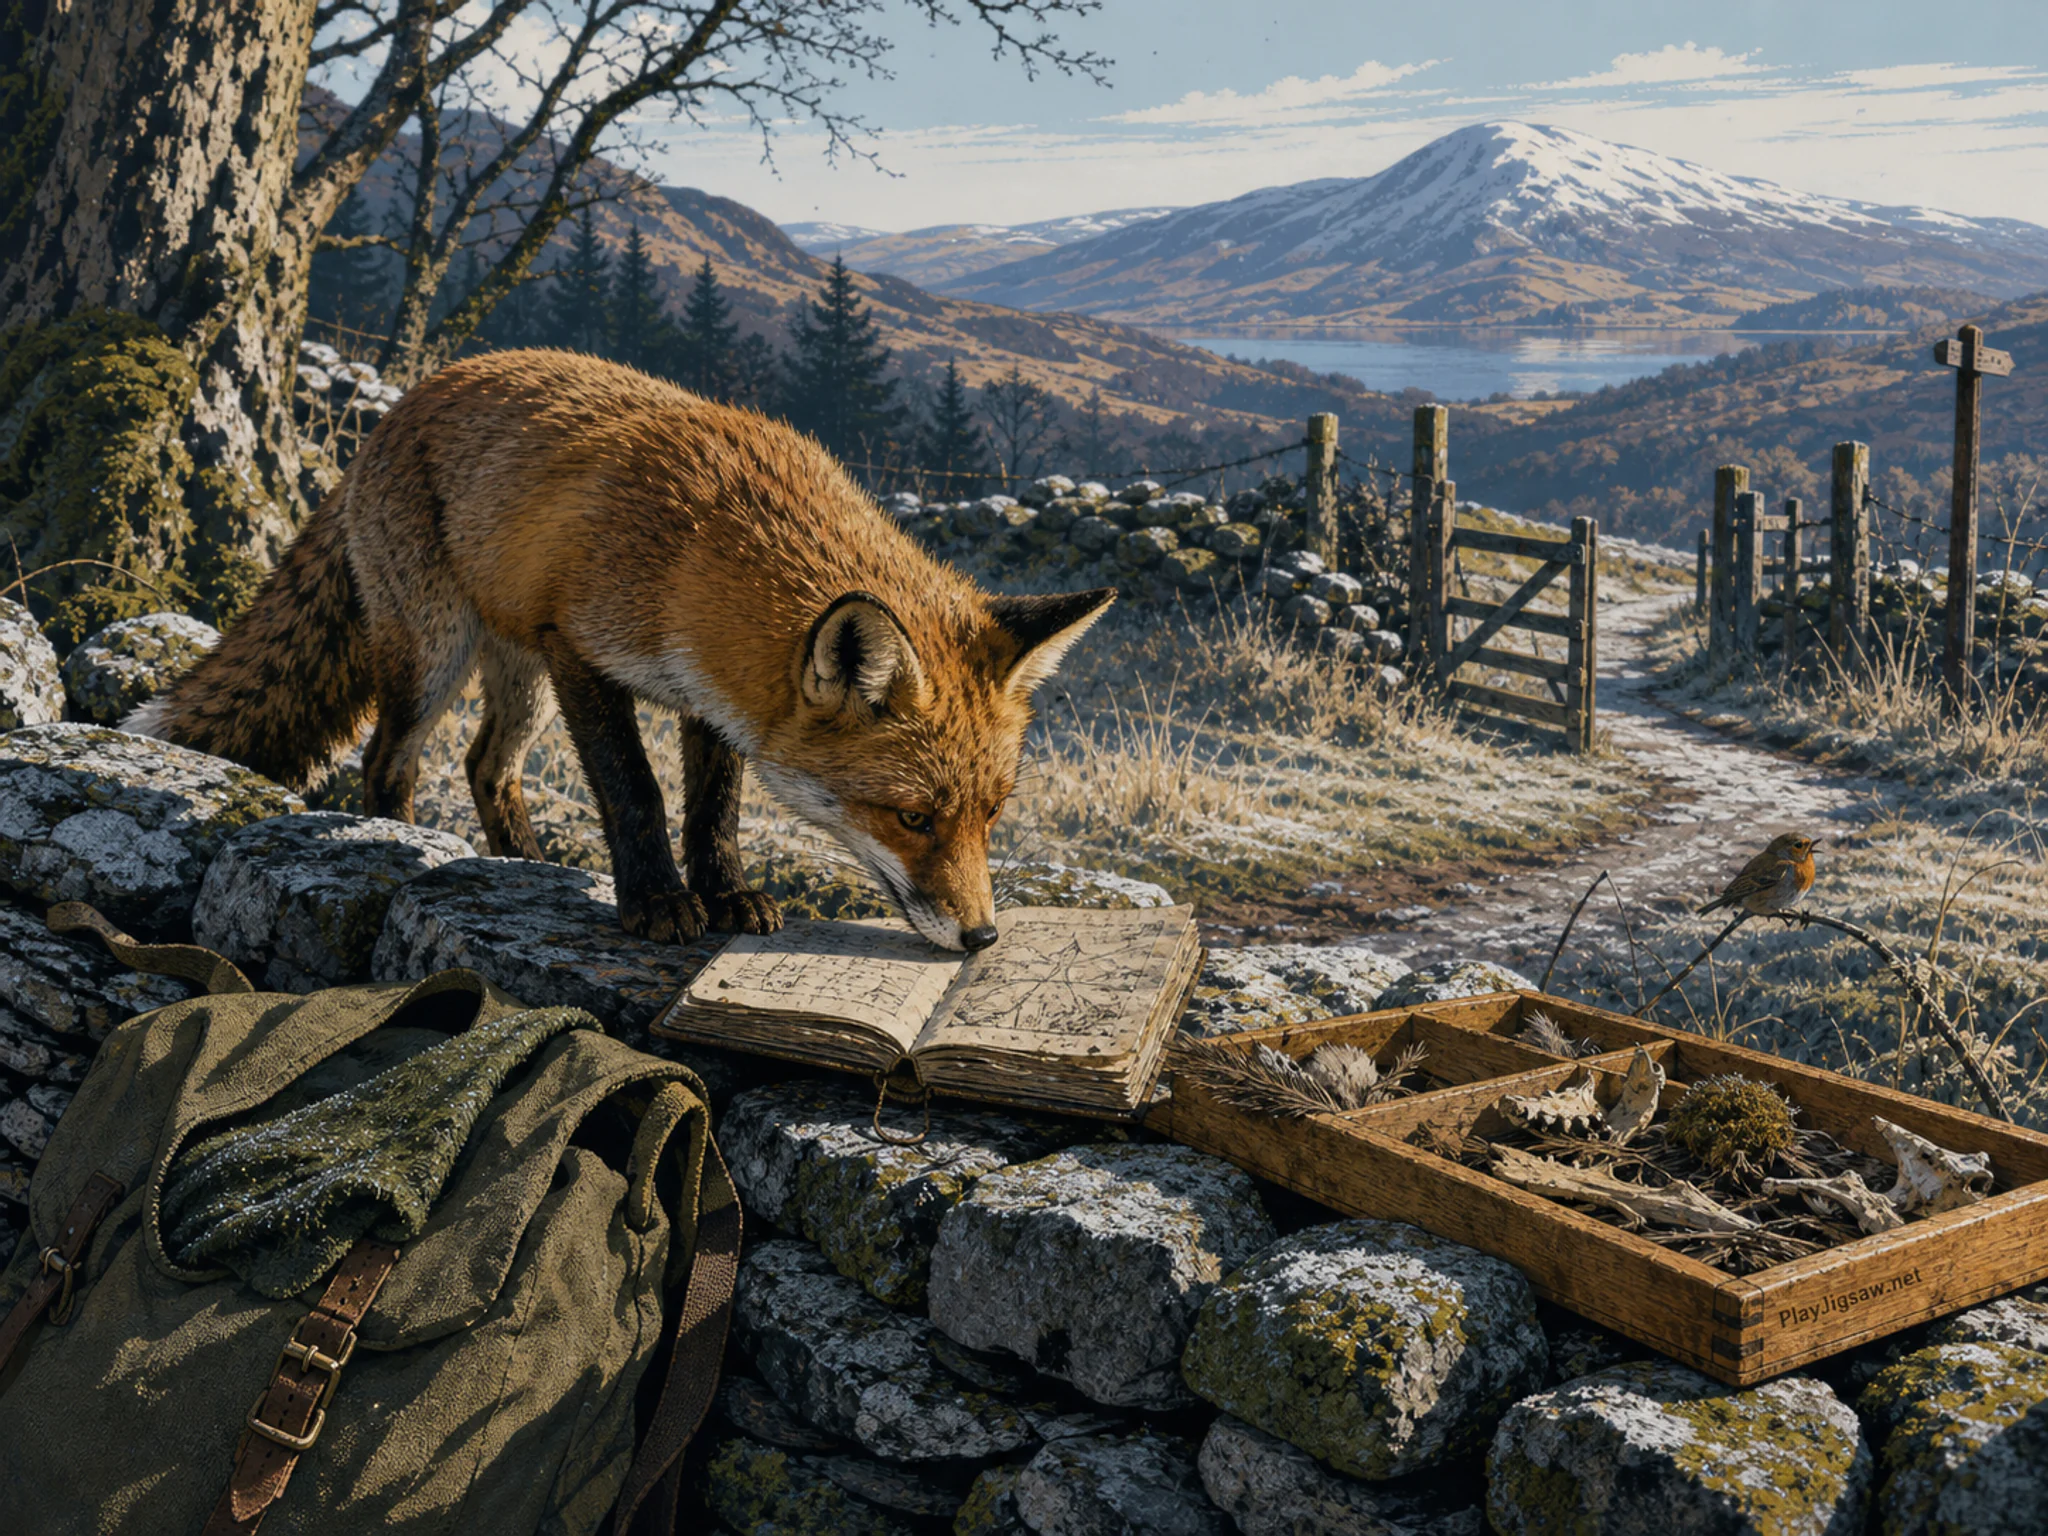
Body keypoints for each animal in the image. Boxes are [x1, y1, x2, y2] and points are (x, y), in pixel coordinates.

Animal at [128, 349, 1115, 952]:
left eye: (993, 815)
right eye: (912, 819)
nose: (982, 939)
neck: (698, 552)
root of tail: (406, 400)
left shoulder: (712, 696)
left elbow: (712, 810)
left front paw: (728, 896)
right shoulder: (582, 653)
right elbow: (635, 793)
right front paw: (656, 904)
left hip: (517, 678)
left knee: (488, 766)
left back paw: (524, 865)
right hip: (438, 655)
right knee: (388, 759)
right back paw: (408, 836)